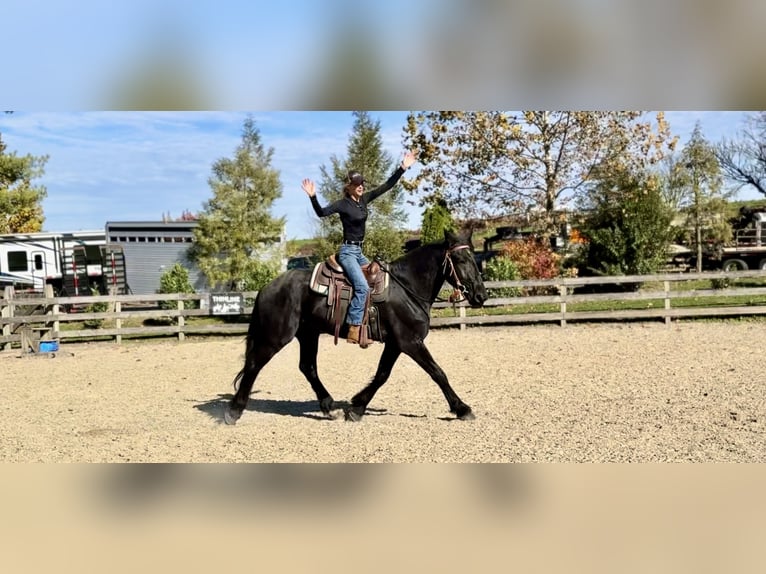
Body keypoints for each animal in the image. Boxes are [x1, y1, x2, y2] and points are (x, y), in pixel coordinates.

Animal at [223, 229, 488, 424]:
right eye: (460, 259)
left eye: (475, 259)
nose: (481, 295)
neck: (406, 287)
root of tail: (268, 287)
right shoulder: (410, 342)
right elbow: (437, 373)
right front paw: (462, 408)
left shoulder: (396, 343)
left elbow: (382, 375)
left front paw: (356, 407)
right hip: (276, 336)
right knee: (255, 365)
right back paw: (234, 411)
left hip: (308, 334)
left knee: (307, 367)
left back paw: (329, 406)